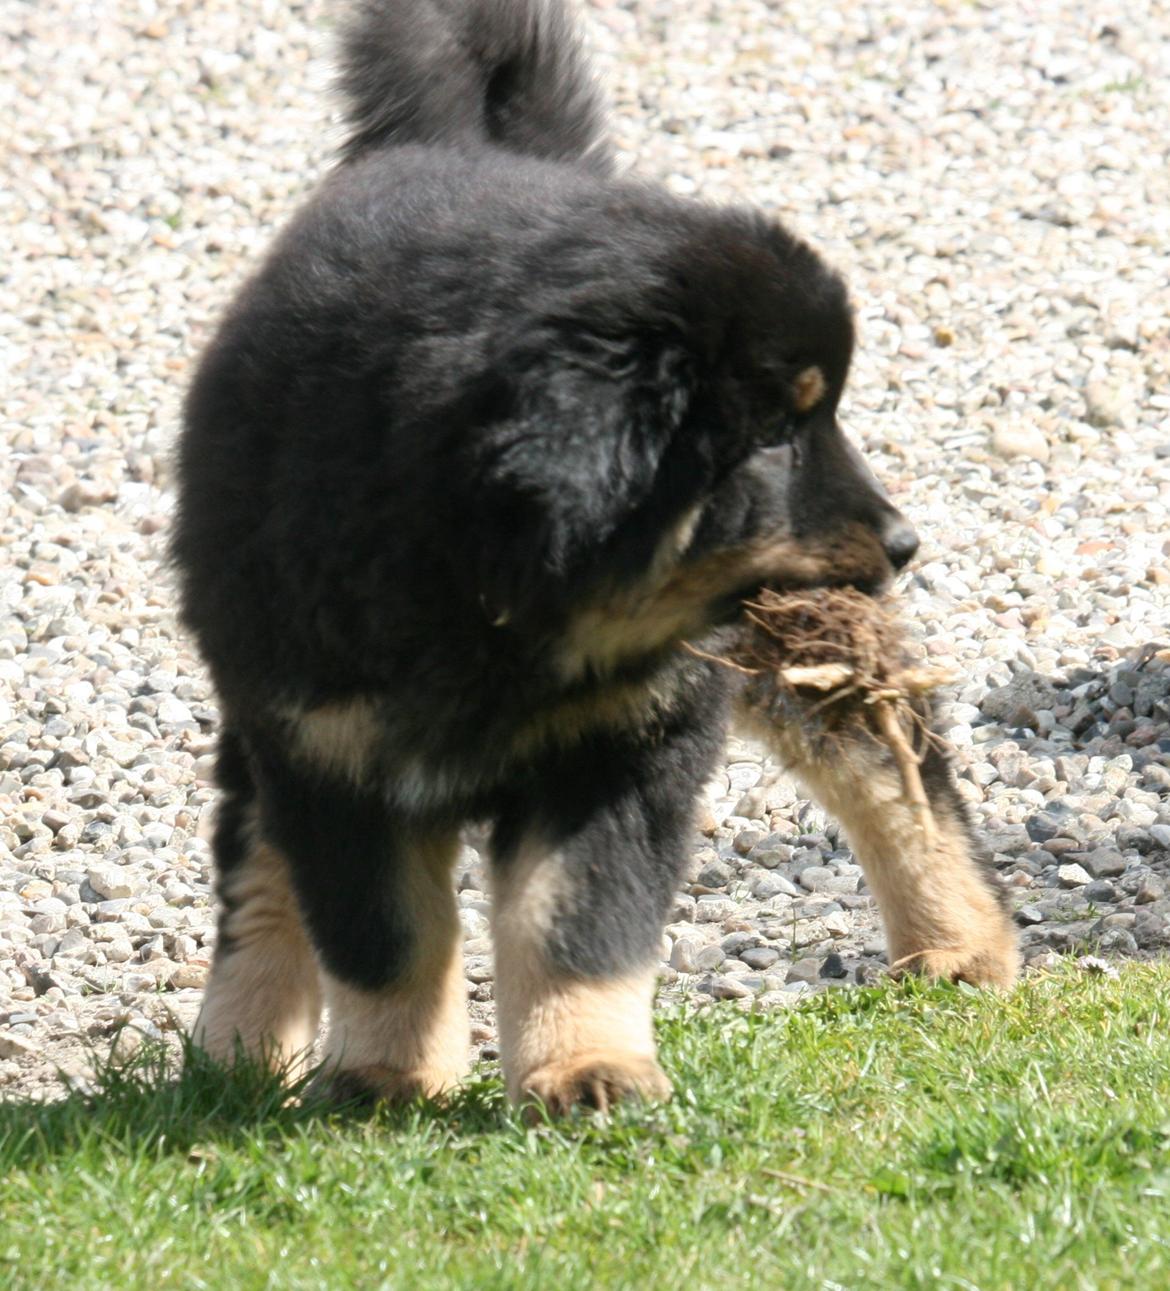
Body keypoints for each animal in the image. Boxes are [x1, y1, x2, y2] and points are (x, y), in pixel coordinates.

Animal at [170, 0, 1012, 1110]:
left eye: (824, 412)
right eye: (774, 433)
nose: (904, 541)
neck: (495, 596)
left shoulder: (625, 742)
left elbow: (576, 918)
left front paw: (588, 1069)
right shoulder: (326, 744)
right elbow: (382, 929)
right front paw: (391, 1076)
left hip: (799, 638)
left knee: (891, 764)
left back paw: (958, 943)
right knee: (257, 868)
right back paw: (239, 1045)